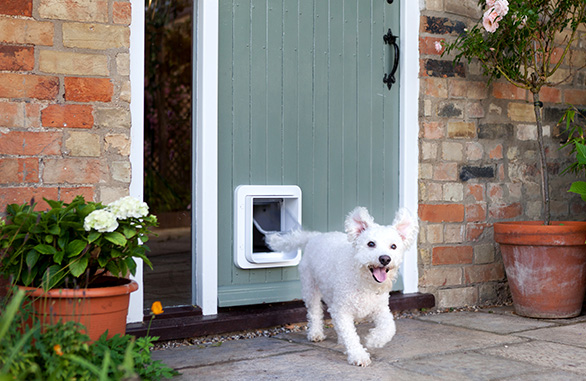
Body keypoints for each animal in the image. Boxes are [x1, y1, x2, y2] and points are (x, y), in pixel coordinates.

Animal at [264, 206, 416, 366]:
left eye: (393, 246)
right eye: (370, 244)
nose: (385, 258)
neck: (364, 281)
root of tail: (315, 237)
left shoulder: (380, 308)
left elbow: (389, 327)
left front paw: (374, 340)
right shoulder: (342, 310)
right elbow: (350, 335)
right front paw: (358, 355)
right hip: (310, 287)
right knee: (315, 312)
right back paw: (316, 333)